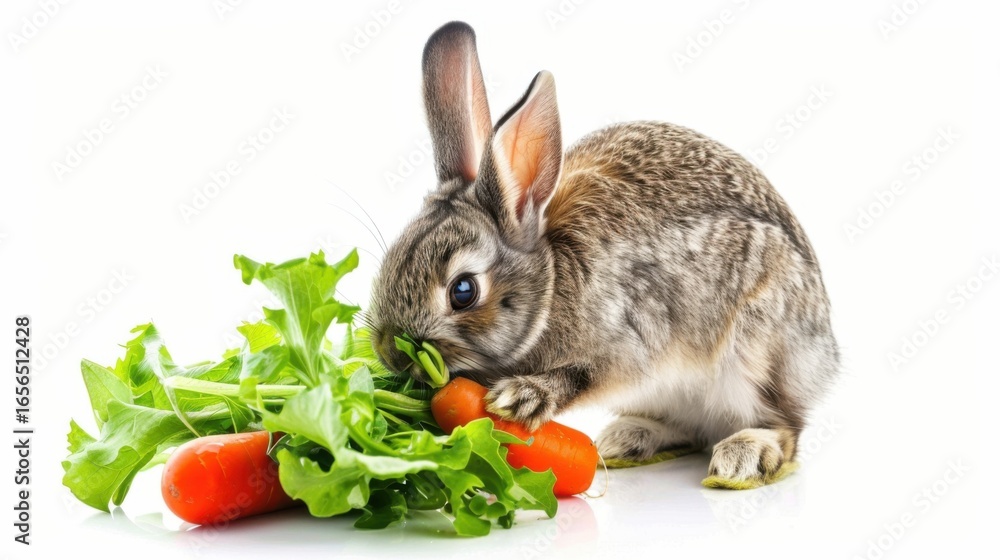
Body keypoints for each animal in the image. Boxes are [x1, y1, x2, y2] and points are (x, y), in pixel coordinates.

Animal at [368, 21, 839, 486]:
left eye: (463, 291)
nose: (390, 351)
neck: (550, 285)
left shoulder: (630, 341)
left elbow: (585, 374)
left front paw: (522, 398)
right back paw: (627, 440)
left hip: (757, 353)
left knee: (786, 426)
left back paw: (743, 456)